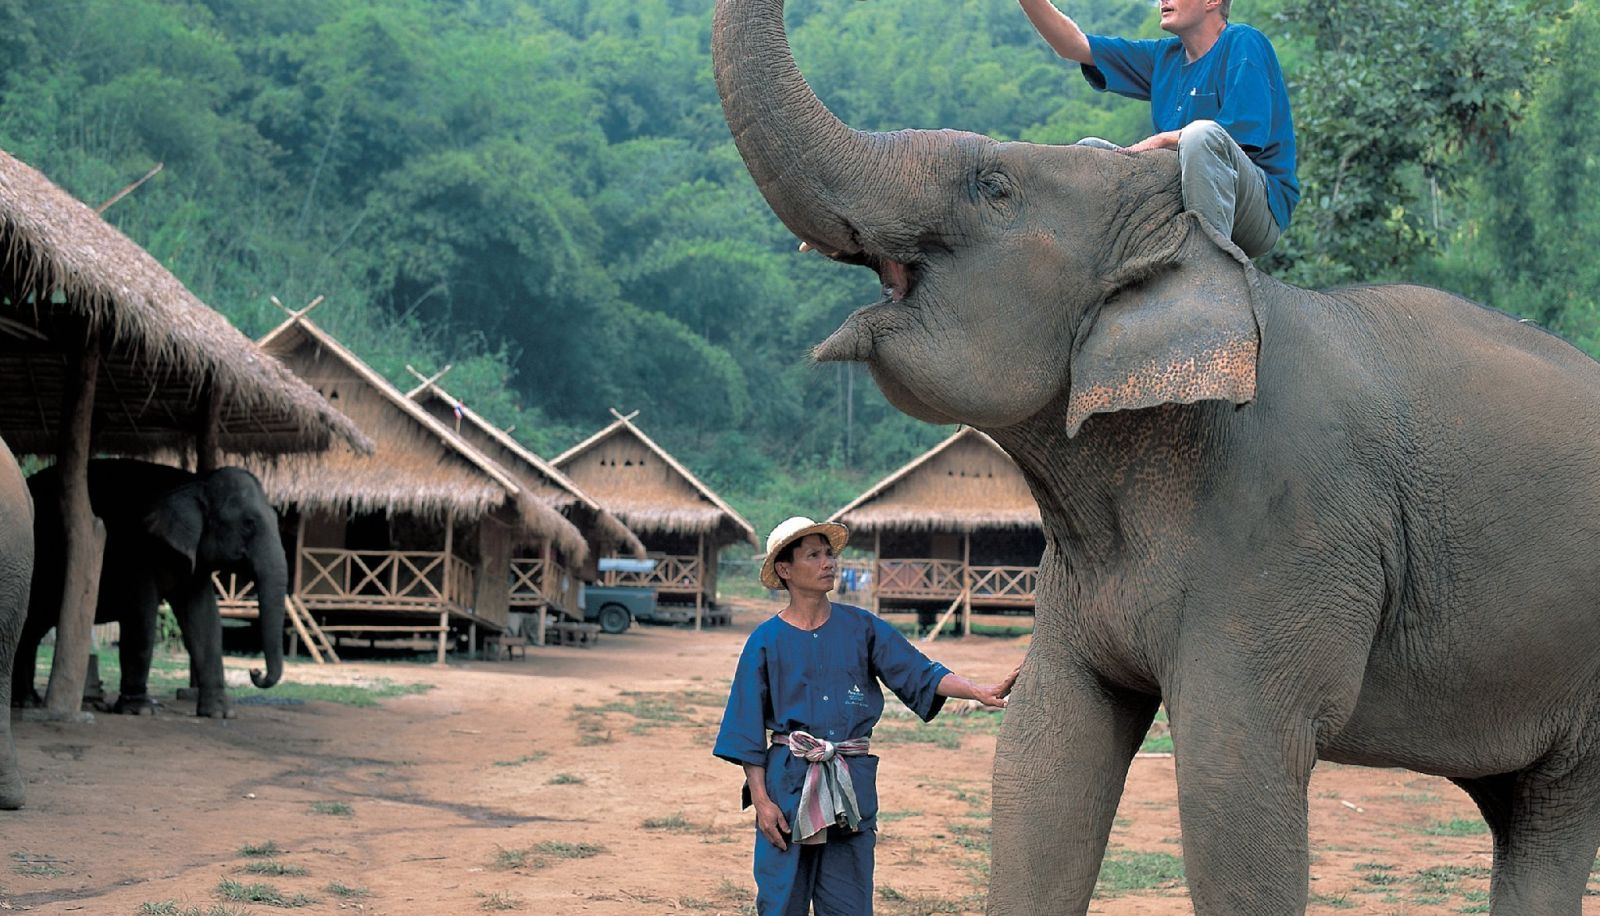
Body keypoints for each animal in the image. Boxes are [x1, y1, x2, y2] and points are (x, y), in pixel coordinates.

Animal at [14, 459, 287, 718]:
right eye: (249, 524)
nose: (254, 671)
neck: (194, 482)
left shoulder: (193, 561)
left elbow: (205, 619)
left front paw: (220, 713)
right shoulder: (138, 551)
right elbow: (141, 616)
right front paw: (139, 710)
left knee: (32, 630)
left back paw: (27, 700)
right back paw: (25, 702)